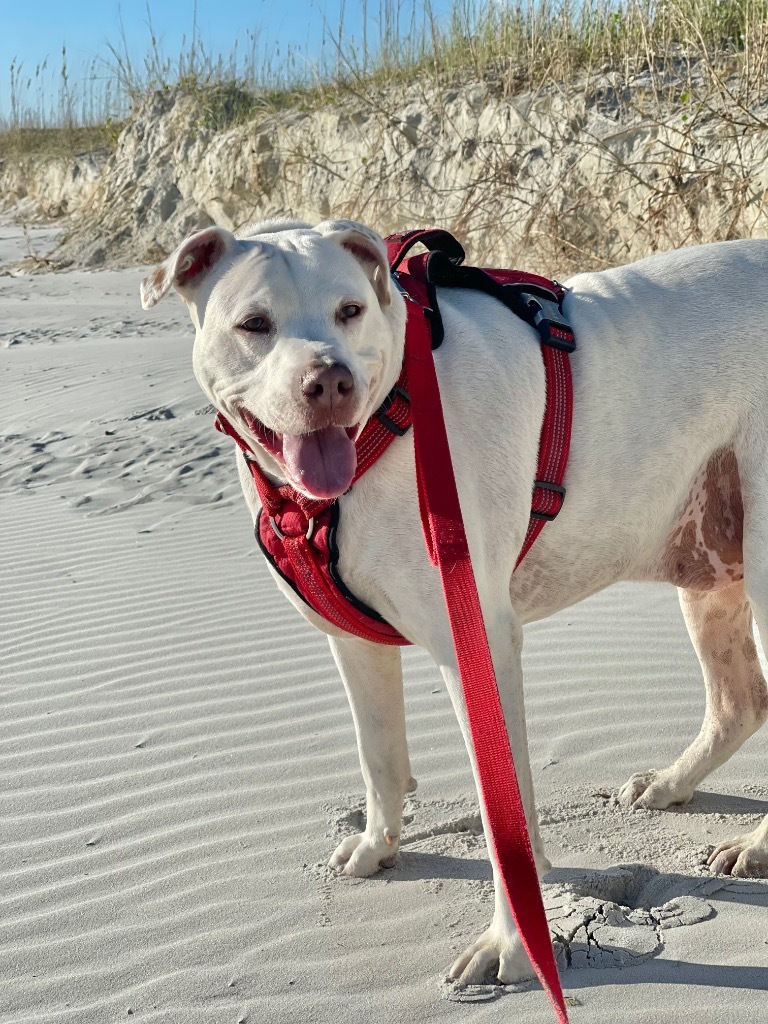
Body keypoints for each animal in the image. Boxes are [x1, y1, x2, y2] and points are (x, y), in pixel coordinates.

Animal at [141, 222, 768, 983]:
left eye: (350, 311)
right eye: (253, 324)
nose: (330, 381)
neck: (395, 415)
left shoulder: (480, 649)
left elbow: (505, 822)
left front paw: (512, 946)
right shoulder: (353, 644)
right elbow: (379, 757)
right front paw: (378, 847)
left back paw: (755, 844)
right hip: (711, 562)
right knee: (740, 701)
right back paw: (672, 783)